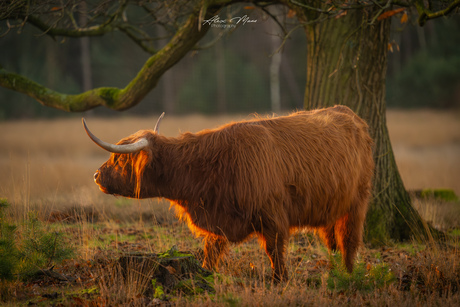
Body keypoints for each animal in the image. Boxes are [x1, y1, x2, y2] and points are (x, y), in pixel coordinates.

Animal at [83, 106, 374, 282]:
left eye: (120, 159)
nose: (96, 176)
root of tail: (349, 113)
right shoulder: (217, 221)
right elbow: (210, 253)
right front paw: (205, 275)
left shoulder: (273, 217)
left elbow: (274, 253)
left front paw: (280, 281)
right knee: (333, 239)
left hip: (358, 202)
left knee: (349, 240)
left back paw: (349, 274)